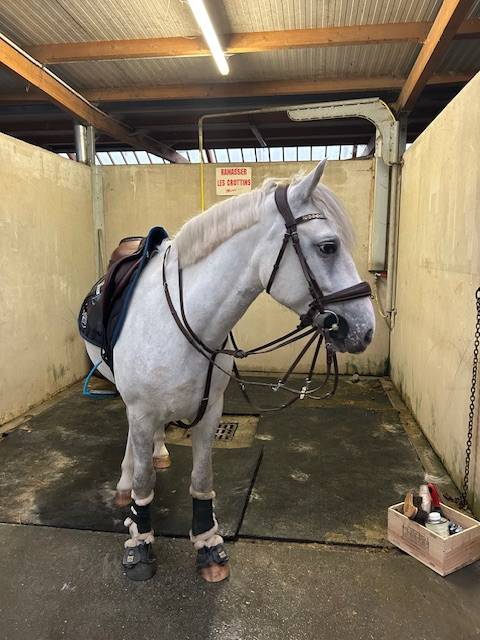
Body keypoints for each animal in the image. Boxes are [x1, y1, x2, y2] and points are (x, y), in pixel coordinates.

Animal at [83, 160, 375, 582]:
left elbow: (202, 479)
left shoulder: (211, 410)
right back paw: (126, 482)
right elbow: (143, 481)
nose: (365, 329)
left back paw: (158, 451)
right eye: (328, 246)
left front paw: (208, 545)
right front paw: (139, 542)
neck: (185, 319)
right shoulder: (141, 409)